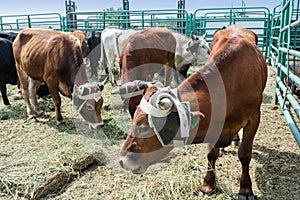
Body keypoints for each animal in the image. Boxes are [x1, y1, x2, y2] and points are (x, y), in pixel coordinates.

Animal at [117, 25, 268, 198]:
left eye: (144, 125)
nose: (122, 161)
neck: (232, 82)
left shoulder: (254, 118)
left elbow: (244, 154)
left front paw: (245, 189)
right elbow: (211, 154)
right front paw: (208, 184)